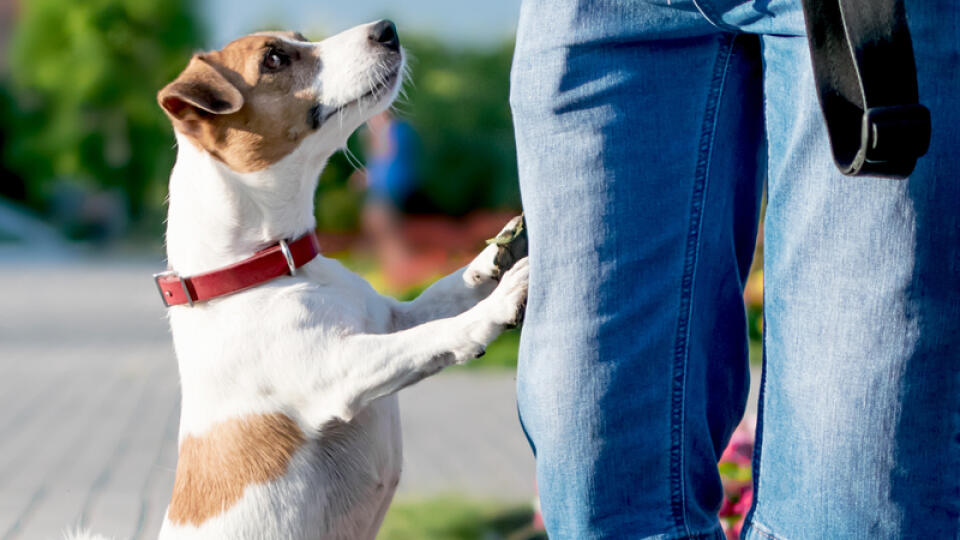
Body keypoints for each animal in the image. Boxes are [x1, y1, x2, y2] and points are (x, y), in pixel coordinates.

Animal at [67, 19, 528, 540]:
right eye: (274, 60)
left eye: (301, 39)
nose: (386, 28)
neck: (270, 266)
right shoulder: (338, 369)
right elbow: (436, 334)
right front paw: (501, 302)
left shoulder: (388, 318)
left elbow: (444, 295)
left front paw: (498, 253)